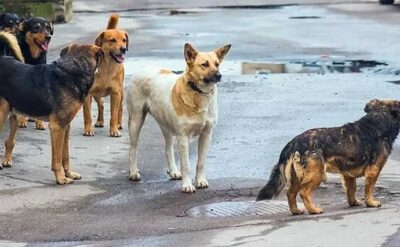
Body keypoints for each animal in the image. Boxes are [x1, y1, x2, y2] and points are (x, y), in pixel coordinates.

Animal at [125, 43, 231, 193]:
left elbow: (201, 162)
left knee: (168, 149)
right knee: (133, 148)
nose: (219, 75)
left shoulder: (206, 134)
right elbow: (186, 165)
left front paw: (200, 180)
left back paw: (173, 171)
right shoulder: (183, 137)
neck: (197, 92)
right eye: (204, 64)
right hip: (136, 120)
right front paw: (187, 185)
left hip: (167, 127)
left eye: (217, 64)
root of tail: (143, 68)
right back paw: (133, 172)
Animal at [256, 99, 400, 215]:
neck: (378, 119)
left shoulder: (348, 174)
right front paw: (371, 203)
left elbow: (351, 189)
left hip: (297, 176)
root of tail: (294, 142)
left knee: (290, 193)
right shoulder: (373, 171)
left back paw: (296, 211)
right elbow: (369, 189)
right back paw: (314, 210)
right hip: (316, 174)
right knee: (304, 193)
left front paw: (353, 202)